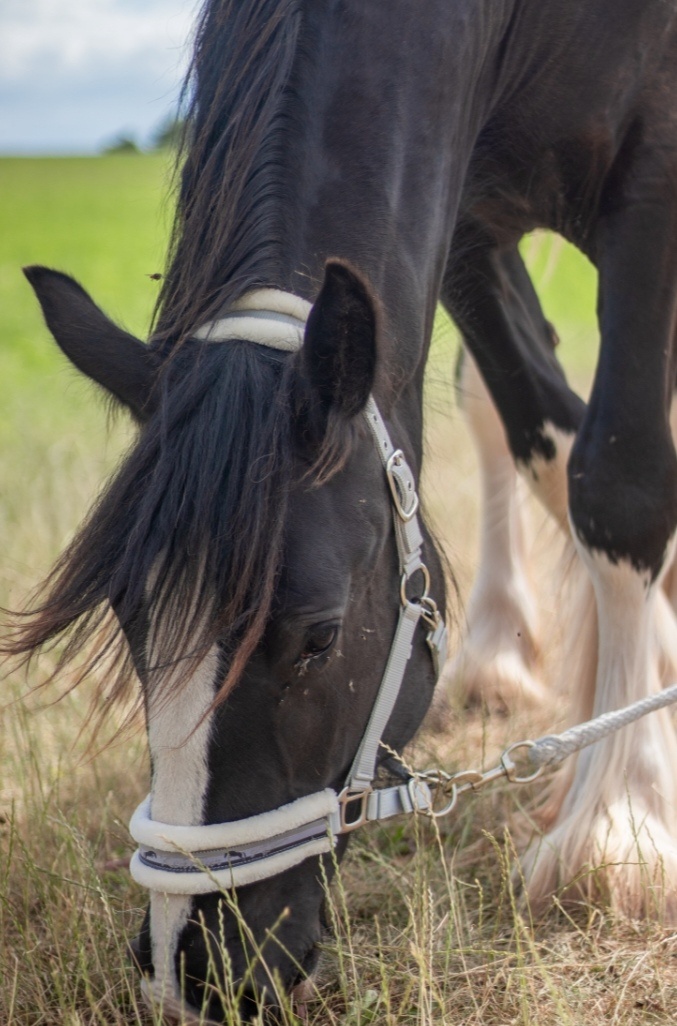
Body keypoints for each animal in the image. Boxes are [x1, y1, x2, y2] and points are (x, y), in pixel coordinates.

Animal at [8, 0, 677, 1019]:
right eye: (130, 617)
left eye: (318, 638)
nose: (191, 968)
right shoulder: (467, 220)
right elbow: (540, 431)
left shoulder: (653, 178)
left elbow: (617, 486)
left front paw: (618, 827)